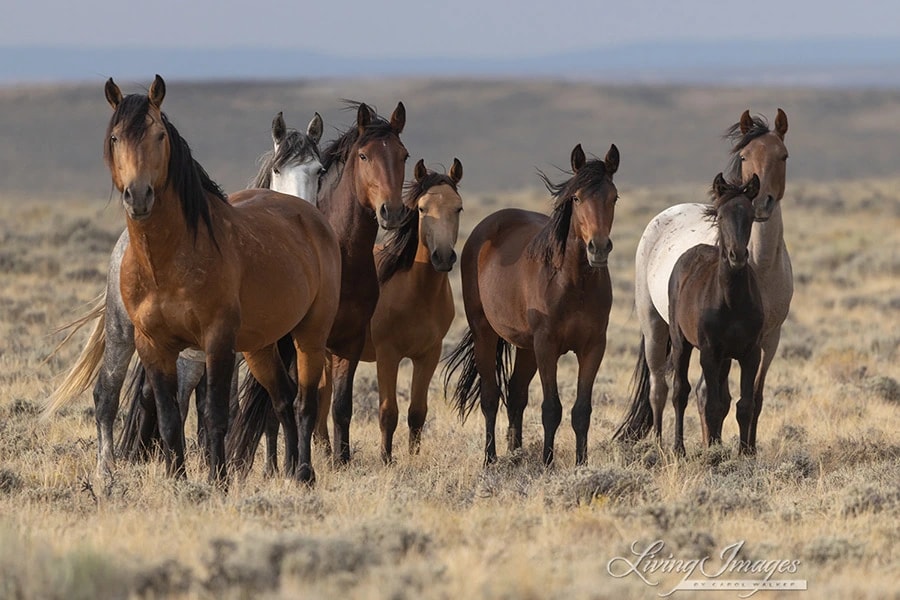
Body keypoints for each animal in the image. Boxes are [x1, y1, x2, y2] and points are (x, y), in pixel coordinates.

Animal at [43, 109, 326, 479]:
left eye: (319, 170)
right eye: (278, 169)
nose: (300, 213)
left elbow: (267, 404)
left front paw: (272, 468)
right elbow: (227, 406)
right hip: (124, 333)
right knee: (109, 394)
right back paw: (110, 470)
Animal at [227, 101, 410, 469]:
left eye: (403, 155)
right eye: (364, 156)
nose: (392, 212)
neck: (344, 254)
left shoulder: (349, 341)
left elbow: (340, 407)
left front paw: (342, 460)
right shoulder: (300, 340)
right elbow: (291, 404)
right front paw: (294, 463)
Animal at [315, 158, 463, 464]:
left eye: (458, 207)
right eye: (422, 208)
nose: (443, 257)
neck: (415, 291)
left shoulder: (428, 355)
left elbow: (417, 412)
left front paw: (413, 458)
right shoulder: (388, 355)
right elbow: (388, 412)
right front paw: (386, 458)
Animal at [443, 144, 619, 467]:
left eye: (614, 197)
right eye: (577, 198)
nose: (598, 248)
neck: (573, 282)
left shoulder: (593, 347)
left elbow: (581, 410)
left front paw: (582, 464)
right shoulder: (547, 346)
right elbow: (551, 408)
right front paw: (548, 463)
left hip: (526, 348)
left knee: (516, 394)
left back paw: (516, 453)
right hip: (486, 333)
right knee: (490, 396)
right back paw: (490, 459)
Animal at [669, 173, 763, 455]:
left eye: (751, 215)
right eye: (721, 216)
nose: (737, 256)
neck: (732, 301)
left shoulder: (750, 353)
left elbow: (744, 405)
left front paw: (744, 453)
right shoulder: (709, 353)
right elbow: (710, 404)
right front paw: (713, 454)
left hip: (725, 358)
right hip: (681, 344)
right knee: (680, 392)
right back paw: (679, 448)